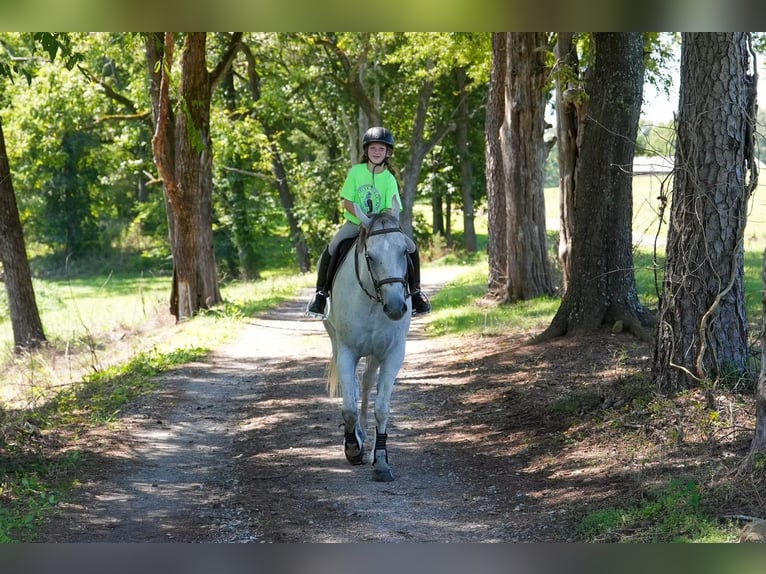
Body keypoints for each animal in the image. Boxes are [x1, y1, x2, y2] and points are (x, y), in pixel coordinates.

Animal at [324, 209, 412, 482]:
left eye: (404, 252)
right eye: (370, 257)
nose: (395, 307)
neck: (374, 299)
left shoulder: (393, 354)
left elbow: (381, 407)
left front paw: (381, 461)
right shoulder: (347, 351)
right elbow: (349, 408)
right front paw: (353, 448)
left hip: (374, 353)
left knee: (365, 385)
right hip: (336, 343)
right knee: (353, 387)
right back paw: (358, 437)